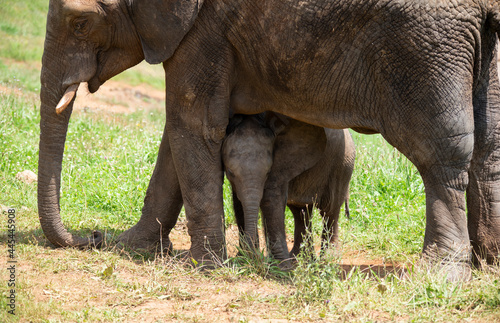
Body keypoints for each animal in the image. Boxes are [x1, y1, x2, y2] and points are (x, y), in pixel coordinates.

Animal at [223, 114, 356, 260]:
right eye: (230, 172)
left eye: (268, 172)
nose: (256, 255)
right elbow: (238, 202)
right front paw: (243, 259)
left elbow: (271, 199)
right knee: (301, 212)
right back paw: (300, 259)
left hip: (342, 164)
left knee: (329, 209)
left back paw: (327, 258)